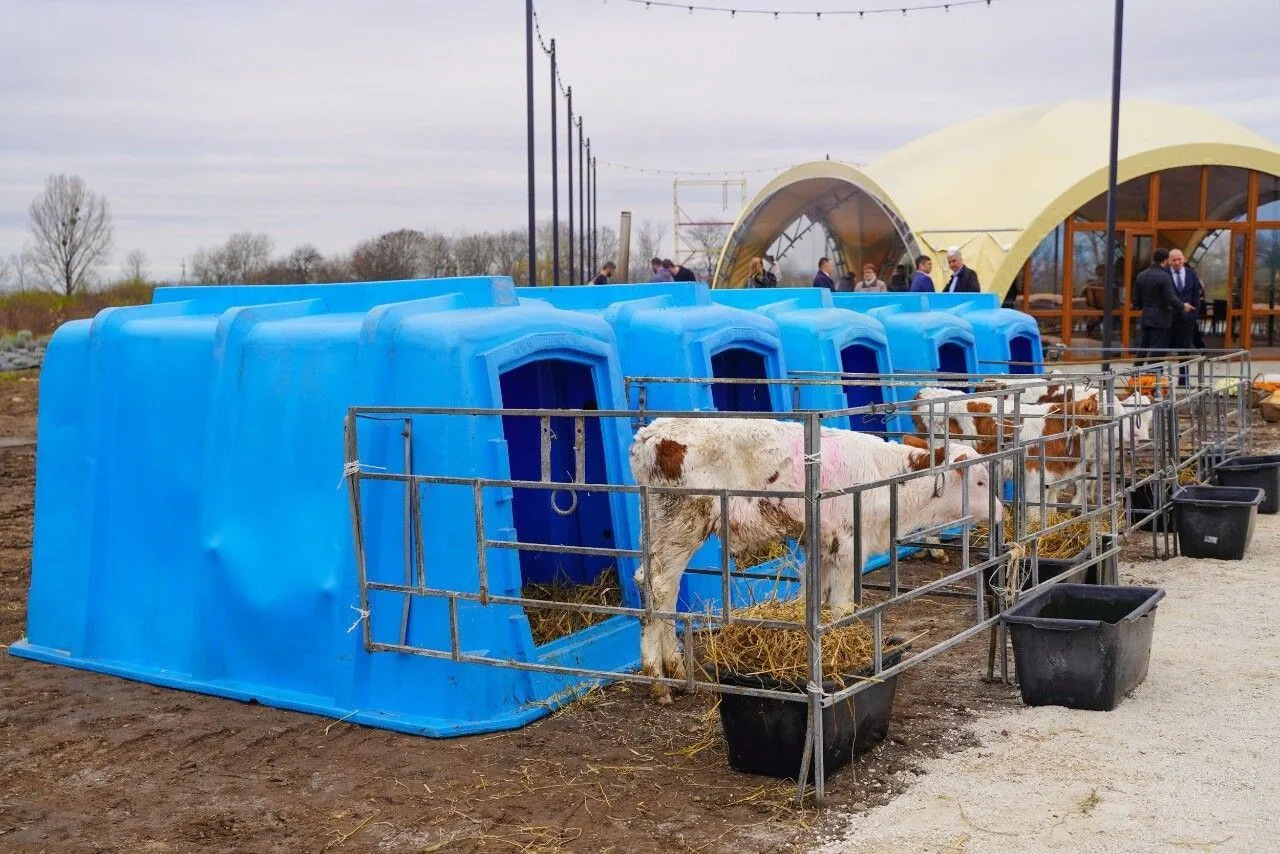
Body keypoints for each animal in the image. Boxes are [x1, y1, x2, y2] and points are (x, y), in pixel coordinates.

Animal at [629, 417, 998, 706]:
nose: (999, 511)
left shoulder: (820, 543)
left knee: (660, 585)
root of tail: (652, 433)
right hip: (683, 522)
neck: (886, 478)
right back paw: (658, 681)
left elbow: (814, 593)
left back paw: (676, 670)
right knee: (659, 585)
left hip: (660, 528)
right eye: (980, 481)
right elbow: (842, 607)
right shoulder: (848, 545)